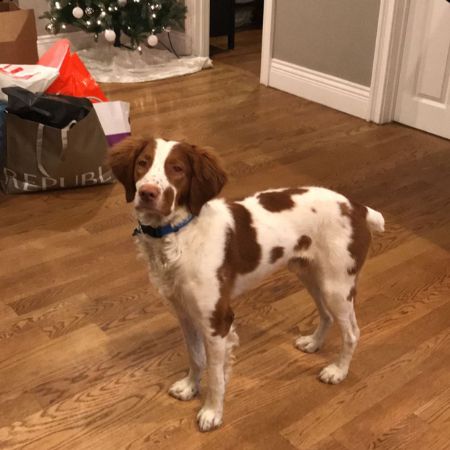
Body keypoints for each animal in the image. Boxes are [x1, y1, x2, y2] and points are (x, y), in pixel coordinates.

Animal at [109, 136, 385, 432]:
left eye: (177, 169)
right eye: (142, 163)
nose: (147, 192)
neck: (181, 233)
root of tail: (357, 208)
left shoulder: (217, 320)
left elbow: (216, 375)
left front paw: (212, 412)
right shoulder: (185, 314)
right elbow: (195, 356)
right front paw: (189, 387)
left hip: (337, 285)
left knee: (352, 332)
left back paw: (338, 371)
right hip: (310, 275)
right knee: (326, 315)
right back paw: (313, 343)